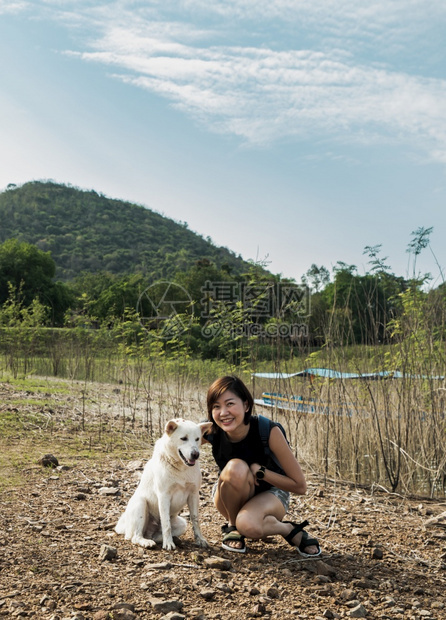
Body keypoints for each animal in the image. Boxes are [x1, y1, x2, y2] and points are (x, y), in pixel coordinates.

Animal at [116, 418, 212, 548]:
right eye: (184, 438)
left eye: (197, 439)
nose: (196, 454)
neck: (181, 468)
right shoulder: (164, 495)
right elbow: (166, 524)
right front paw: (168, 544)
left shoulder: (193, 494)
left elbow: (195, 520)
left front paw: (200, 540)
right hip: (141, 504)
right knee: (135, 537)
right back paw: (147, 542)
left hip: (182, 524)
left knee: (155, 535)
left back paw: (173, 539)